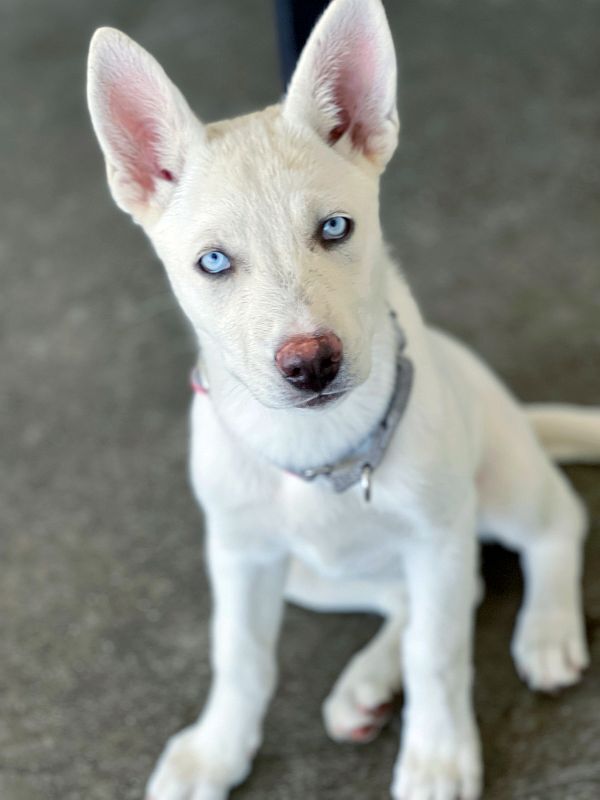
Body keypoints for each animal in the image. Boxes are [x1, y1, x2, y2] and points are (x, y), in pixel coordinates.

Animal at [86, 1, 596, 800]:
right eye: (213, 262)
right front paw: (216, 750)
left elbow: (439, 654)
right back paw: (368, 681)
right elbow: (241, 657)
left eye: (333, 228)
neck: (320, 449)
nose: (311, 364)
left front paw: (438, 756)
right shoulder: (239, 553)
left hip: (499, 485)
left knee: (550, 528)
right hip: (310, 578)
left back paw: (545, 630)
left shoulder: (436, 535)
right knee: (420, 595)